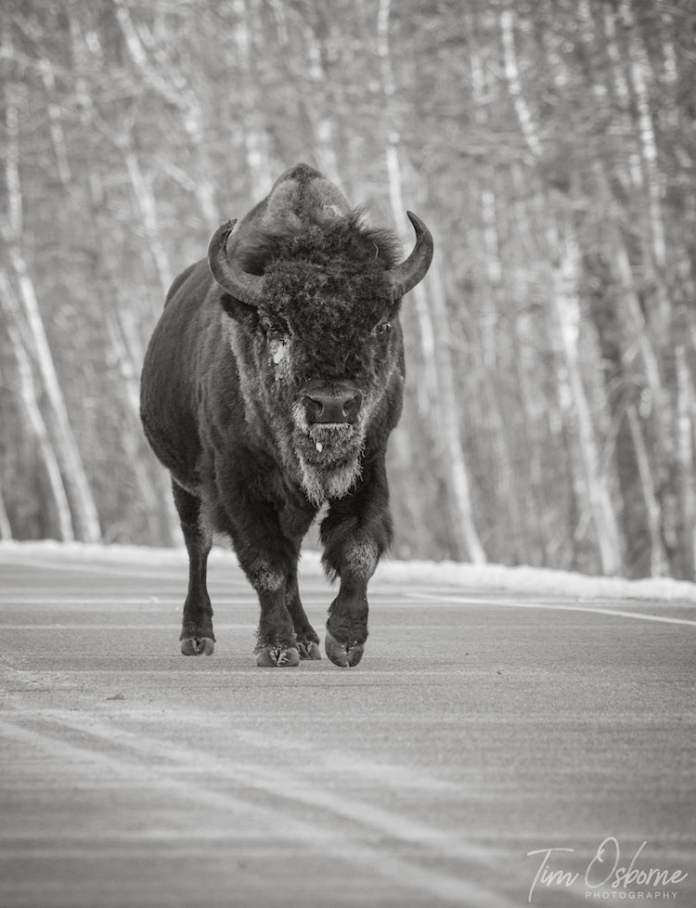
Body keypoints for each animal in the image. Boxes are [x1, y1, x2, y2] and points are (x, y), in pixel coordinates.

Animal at [140, 163, 433, 667]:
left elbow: (357, 549)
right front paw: (276, 647)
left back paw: (308, 638)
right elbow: (265, 563)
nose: (332, 404)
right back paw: (198, 636)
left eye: (380, 324)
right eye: (278, 326)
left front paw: (344, 640)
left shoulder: (369, 463)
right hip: (185, 485)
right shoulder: (236, 480)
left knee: (290, 553)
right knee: (199, 545)